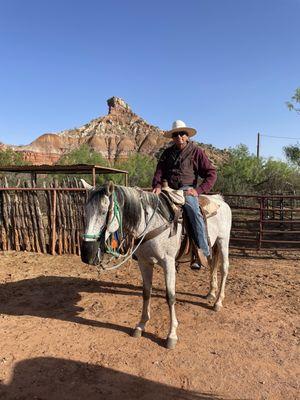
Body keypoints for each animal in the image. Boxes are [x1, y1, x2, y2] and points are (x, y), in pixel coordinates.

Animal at [80, 182, 232, 350]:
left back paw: (218, 302)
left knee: (224, 269)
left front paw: (171, 335)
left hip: (223, 241)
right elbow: (146, 293)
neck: (151, 223)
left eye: (103, 212)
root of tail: (219, 199)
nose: (86, 254)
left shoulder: (168, 263)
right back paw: (211, 293)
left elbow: (170, 296)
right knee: (213, 266)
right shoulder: (144, 262)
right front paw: (140, 326)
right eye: (84, 213)